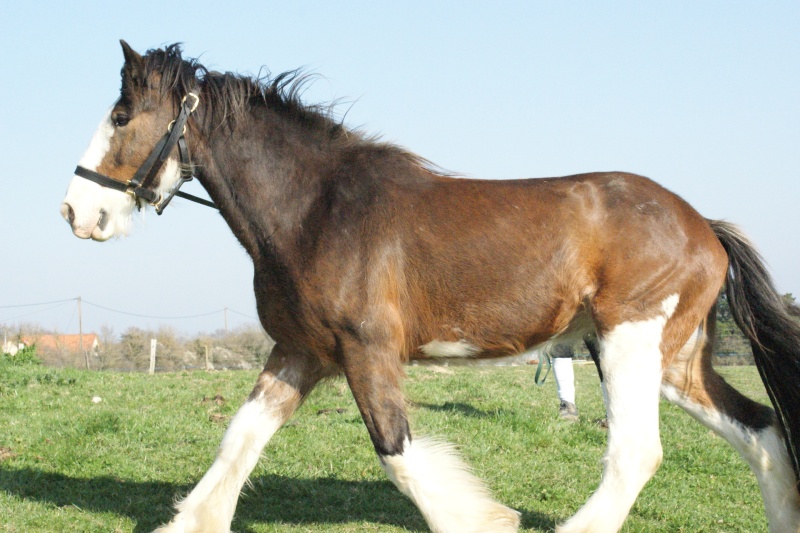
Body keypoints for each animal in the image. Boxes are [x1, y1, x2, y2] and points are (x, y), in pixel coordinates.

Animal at [61, 41, 800, 532]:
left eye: (122, 117)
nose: (76, 212)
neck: (316, 209)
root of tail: (703, 225)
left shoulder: (366, 350)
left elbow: (398, 453)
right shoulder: (301, 351)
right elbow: (239, 438)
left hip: (628, 342)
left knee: (636, 453)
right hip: (674, 359)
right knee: (761, 430)